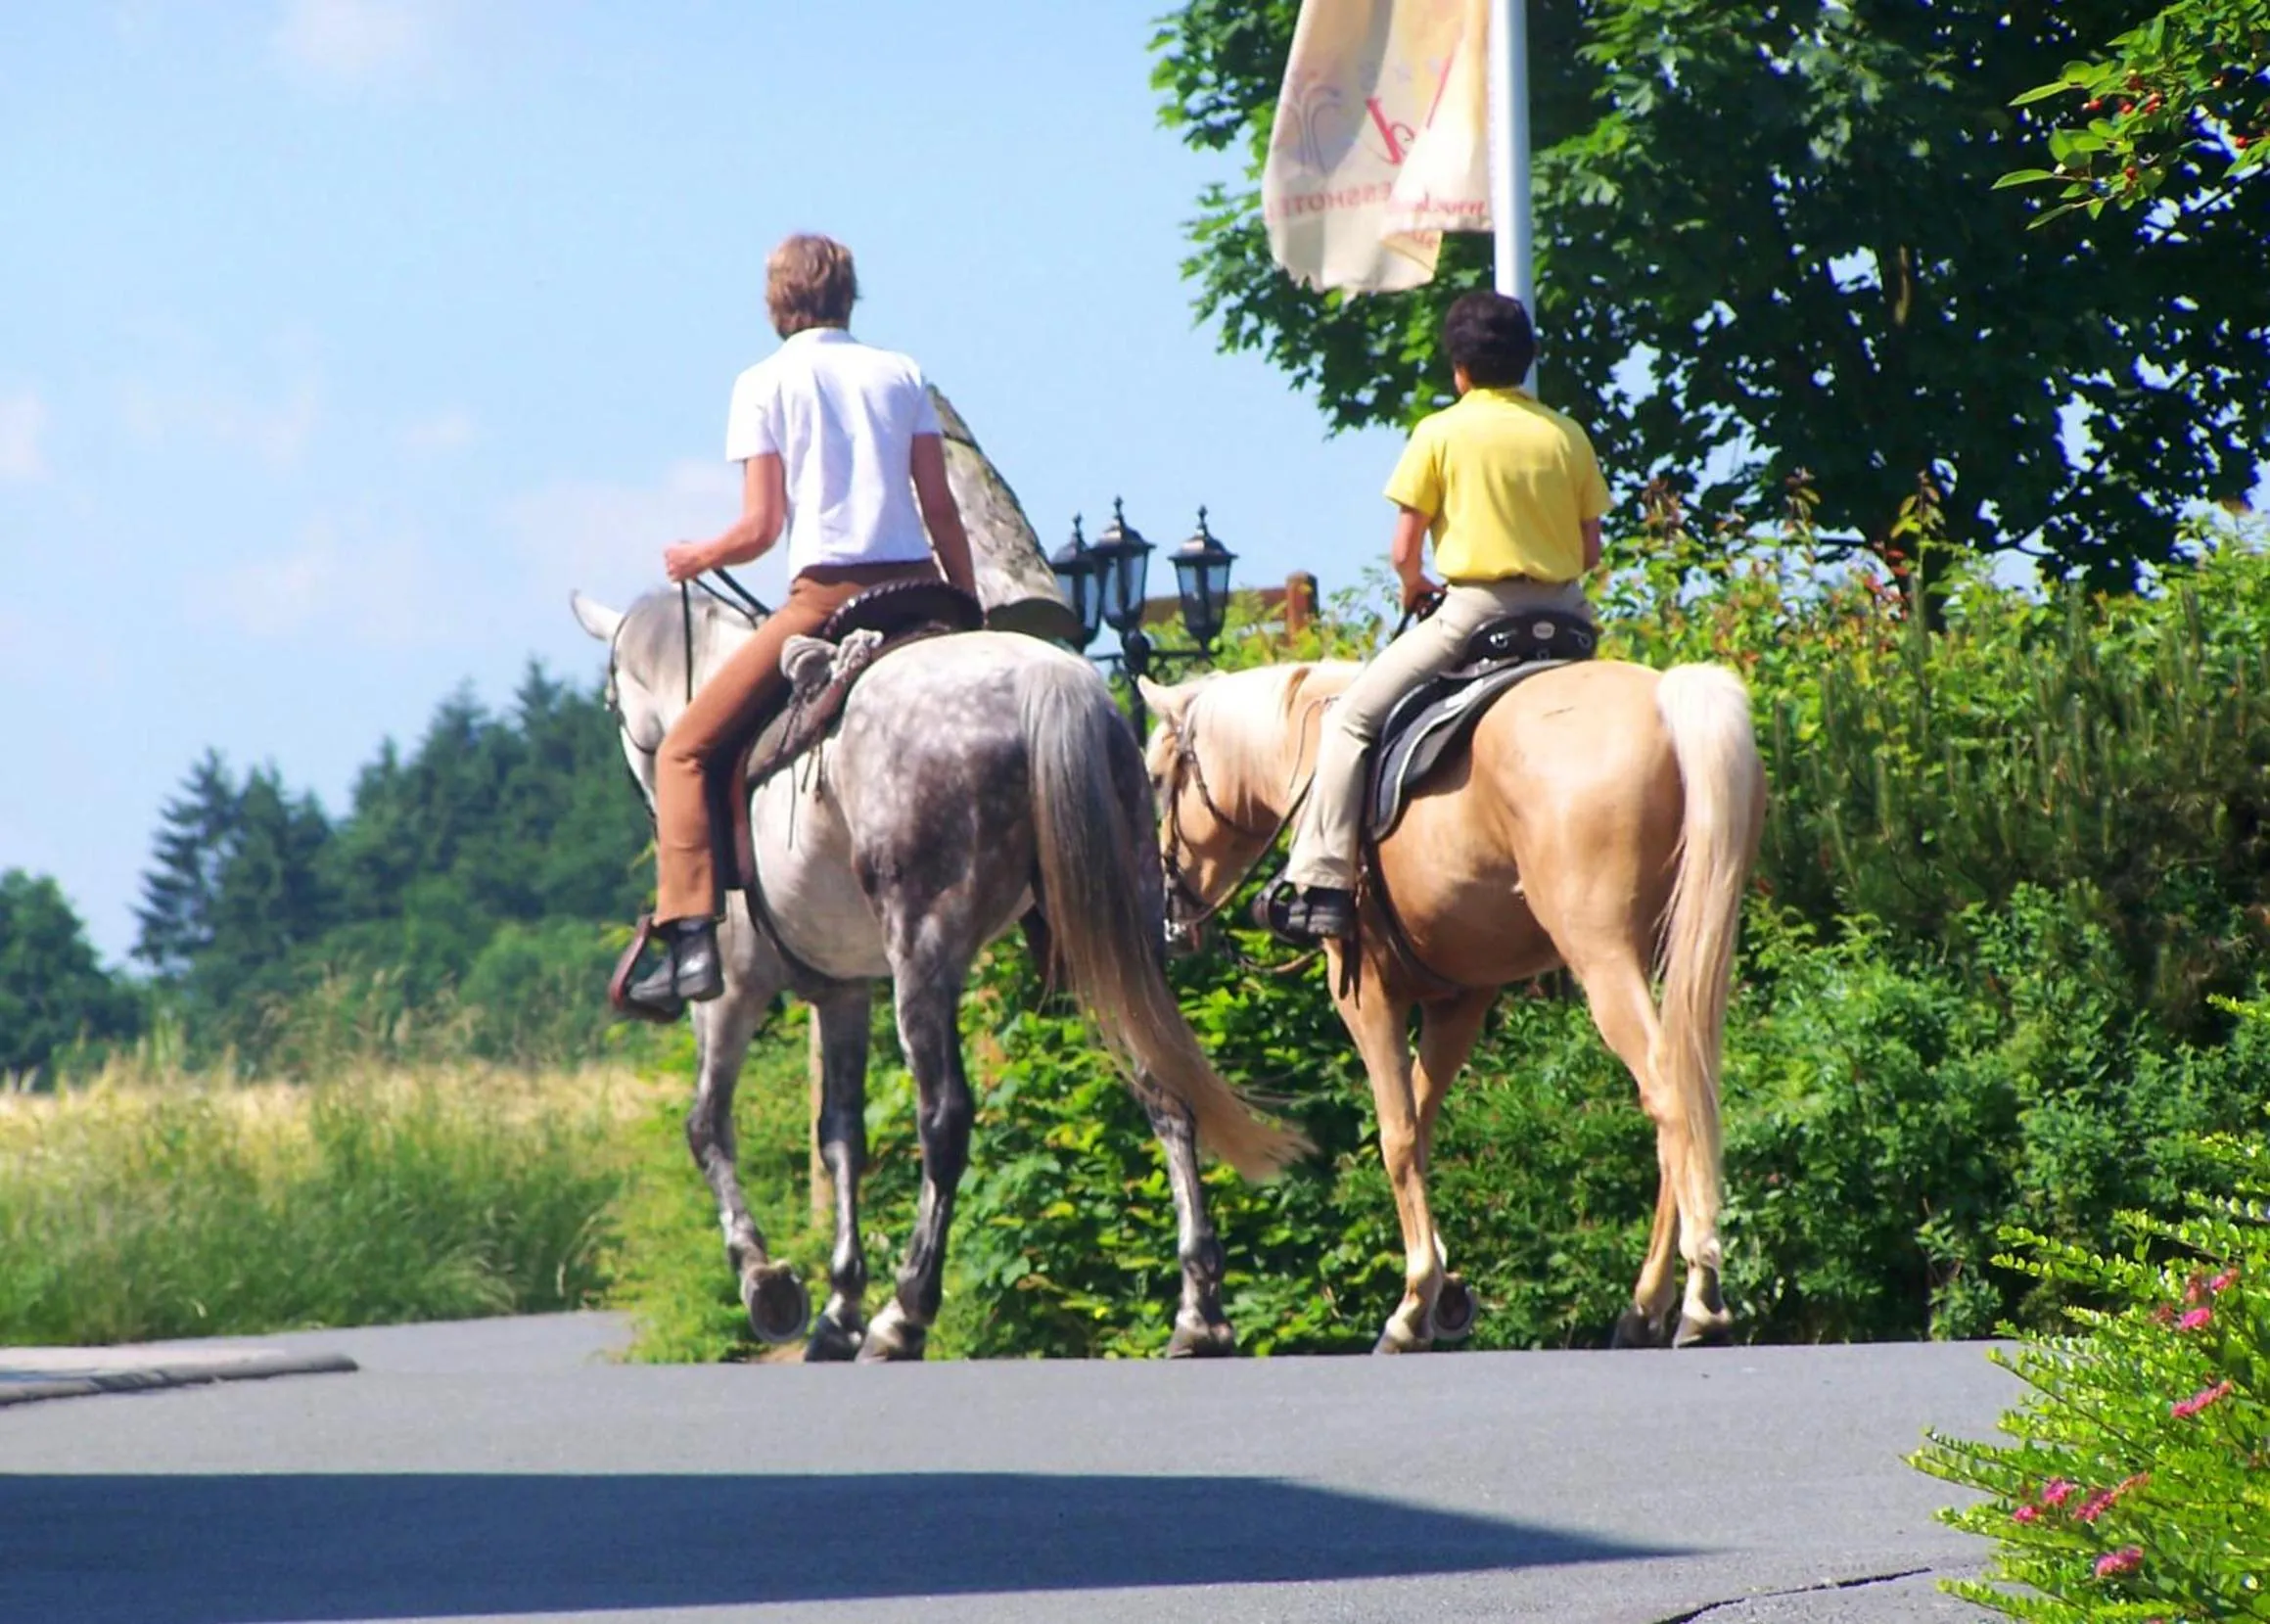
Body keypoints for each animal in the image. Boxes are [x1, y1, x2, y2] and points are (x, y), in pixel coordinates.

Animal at [571, 587, 1303, 1361]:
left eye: (611, 701)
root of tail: (1045, 682)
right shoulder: (843, 991)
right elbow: (841, 1136)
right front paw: (838, 1307)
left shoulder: (732, 990)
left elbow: (707, 1125)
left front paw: (766, 1280)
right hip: (1112, 944)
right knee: (1164, 1089)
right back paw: (1200, 1312)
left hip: (922, 958)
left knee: (944, 1118)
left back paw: (904, 1313)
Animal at [1137, 655, 1763, 1353]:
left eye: (1157, 779)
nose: (1165, 910)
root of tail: (1663, 698)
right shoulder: (1458, 1003)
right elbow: (1421, 1121)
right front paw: (1444, 1286)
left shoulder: (1366, 993)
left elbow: (1397, 1133)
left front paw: (1414, 1303)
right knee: (1682, 1103)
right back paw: (1647, 1306)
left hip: (1603, 959)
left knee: (1669, 1093)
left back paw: (1698, 1299)